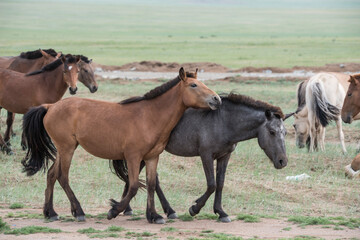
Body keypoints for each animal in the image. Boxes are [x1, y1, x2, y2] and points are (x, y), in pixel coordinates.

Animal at [22, 67, 222, 223]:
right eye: (194, 85)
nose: (216, 99)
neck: (150, 117)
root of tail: (50, 106)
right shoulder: (133, 157)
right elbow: (133, 186)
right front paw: (114, 210)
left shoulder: (152, 157)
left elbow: (150, 185)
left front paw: (154, 215)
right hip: (67, 149)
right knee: (63, 177)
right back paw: (78, 212)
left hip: (63, 150)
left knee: (51, 175)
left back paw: (50, 213)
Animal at [111, 92, 288, 223]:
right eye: (272, 132)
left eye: (285, 132)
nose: (283, 161)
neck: (224, 121)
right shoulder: (206, 155)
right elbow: (211, 185)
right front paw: (194, 209)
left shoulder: (225, 156)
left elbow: (220, 184)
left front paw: (221, 212)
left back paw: (143, 209)